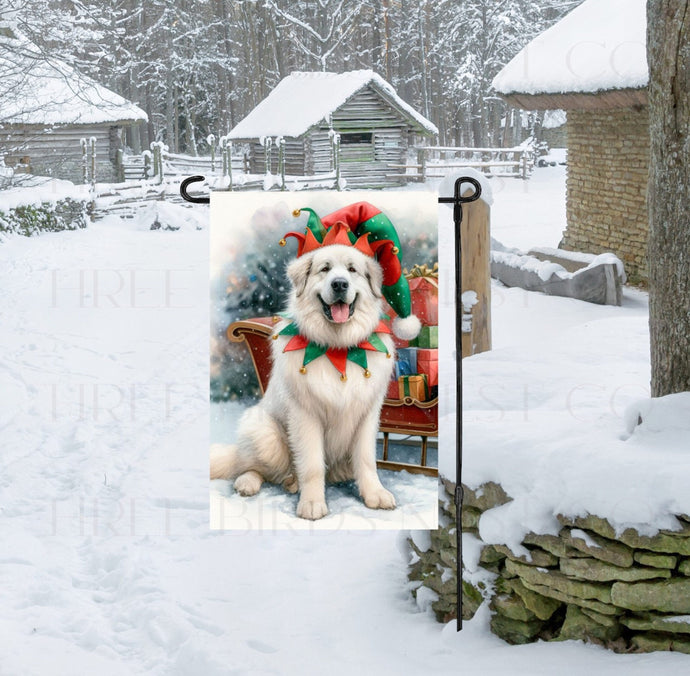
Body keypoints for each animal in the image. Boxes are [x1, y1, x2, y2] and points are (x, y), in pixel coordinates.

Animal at [207, 235, 396, 520]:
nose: (340, 284)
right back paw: (250, 483)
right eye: (325, 269)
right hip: (266, 435)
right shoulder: (306, 416)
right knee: (250, 466)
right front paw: (312, 504)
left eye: (352, 270)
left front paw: (375, 494)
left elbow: (366, 460)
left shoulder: (366, 415)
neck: (337, 349)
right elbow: (312, 464)